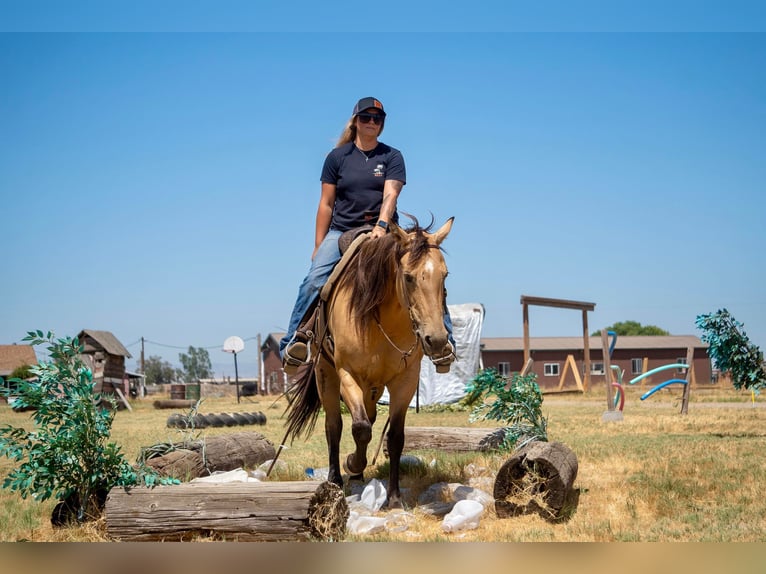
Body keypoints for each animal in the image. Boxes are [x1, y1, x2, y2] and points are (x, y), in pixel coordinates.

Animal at [283, 215, 454, 509]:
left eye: (444, 275)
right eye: (408, 277)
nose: (437, 340)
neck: (381, 318)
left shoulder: (405, 381)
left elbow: (394, 437)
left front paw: (394, 498)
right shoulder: (347, 374)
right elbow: (359, 428)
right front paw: (352, 463)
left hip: (373, 387)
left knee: (369, 418)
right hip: (326, 375)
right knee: (335, 426)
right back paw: (338, 477)